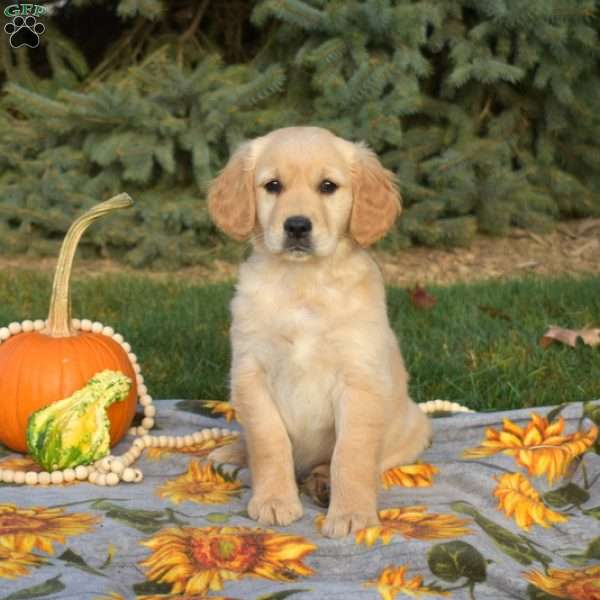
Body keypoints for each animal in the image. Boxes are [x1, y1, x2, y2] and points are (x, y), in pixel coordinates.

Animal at [206, 126, 432, 540]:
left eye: (328, 186)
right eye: (273, 185)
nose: (297, 226)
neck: (304, 285)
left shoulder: (359, 381)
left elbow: (351, 453)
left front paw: (352, 513)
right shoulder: (249, 373)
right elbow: (268, 440)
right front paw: (274, 500)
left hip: (412, 428)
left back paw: (323, 483)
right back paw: (231, 455)